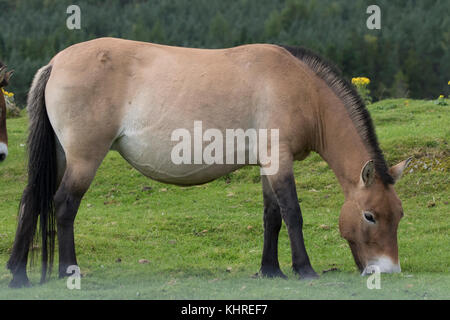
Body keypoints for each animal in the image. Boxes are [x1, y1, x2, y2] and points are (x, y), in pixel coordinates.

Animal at [7, 38, 412, 288]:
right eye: (370, 216)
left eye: (399, 215)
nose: (389, 270)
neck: (302, 88)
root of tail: (55, 63)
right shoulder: (279, 160)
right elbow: (293, 213)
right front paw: (304, 269)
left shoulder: (267, 164)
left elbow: (272, 217)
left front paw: (270, 270)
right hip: (83, 159)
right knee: (63, 205)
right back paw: (67, 270)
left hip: (62, 158)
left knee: (31, 201)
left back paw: (17, 273)